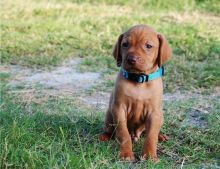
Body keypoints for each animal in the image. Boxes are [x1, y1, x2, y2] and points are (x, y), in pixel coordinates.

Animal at [99, 24, 172, 162]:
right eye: (125, 44)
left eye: (148, 46)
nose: (131, 59)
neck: (139, 80)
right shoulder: (119, 109)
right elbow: (123, 134)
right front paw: (126, 154)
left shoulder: (154, 113)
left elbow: (151, 136)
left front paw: (150, 155)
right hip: (109, 115)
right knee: (111, 130)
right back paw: (104, 136)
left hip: (161, 117)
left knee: (149, 132)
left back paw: (161, 136)